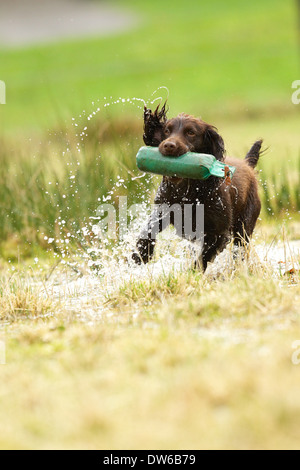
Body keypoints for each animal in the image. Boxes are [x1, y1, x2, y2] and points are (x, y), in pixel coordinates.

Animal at [132, 104, 262, 270]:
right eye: (167, 131)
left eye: (191, 132)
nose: (169, 145)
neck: (187, 191)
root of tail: (247, 165)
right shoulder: (163, 210)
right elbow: (148, 229)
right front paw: (141, 255)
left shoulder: (219, 233)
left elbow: (202, 259)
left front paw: (192, 273)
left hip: (244, 226)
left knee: (239, 250)